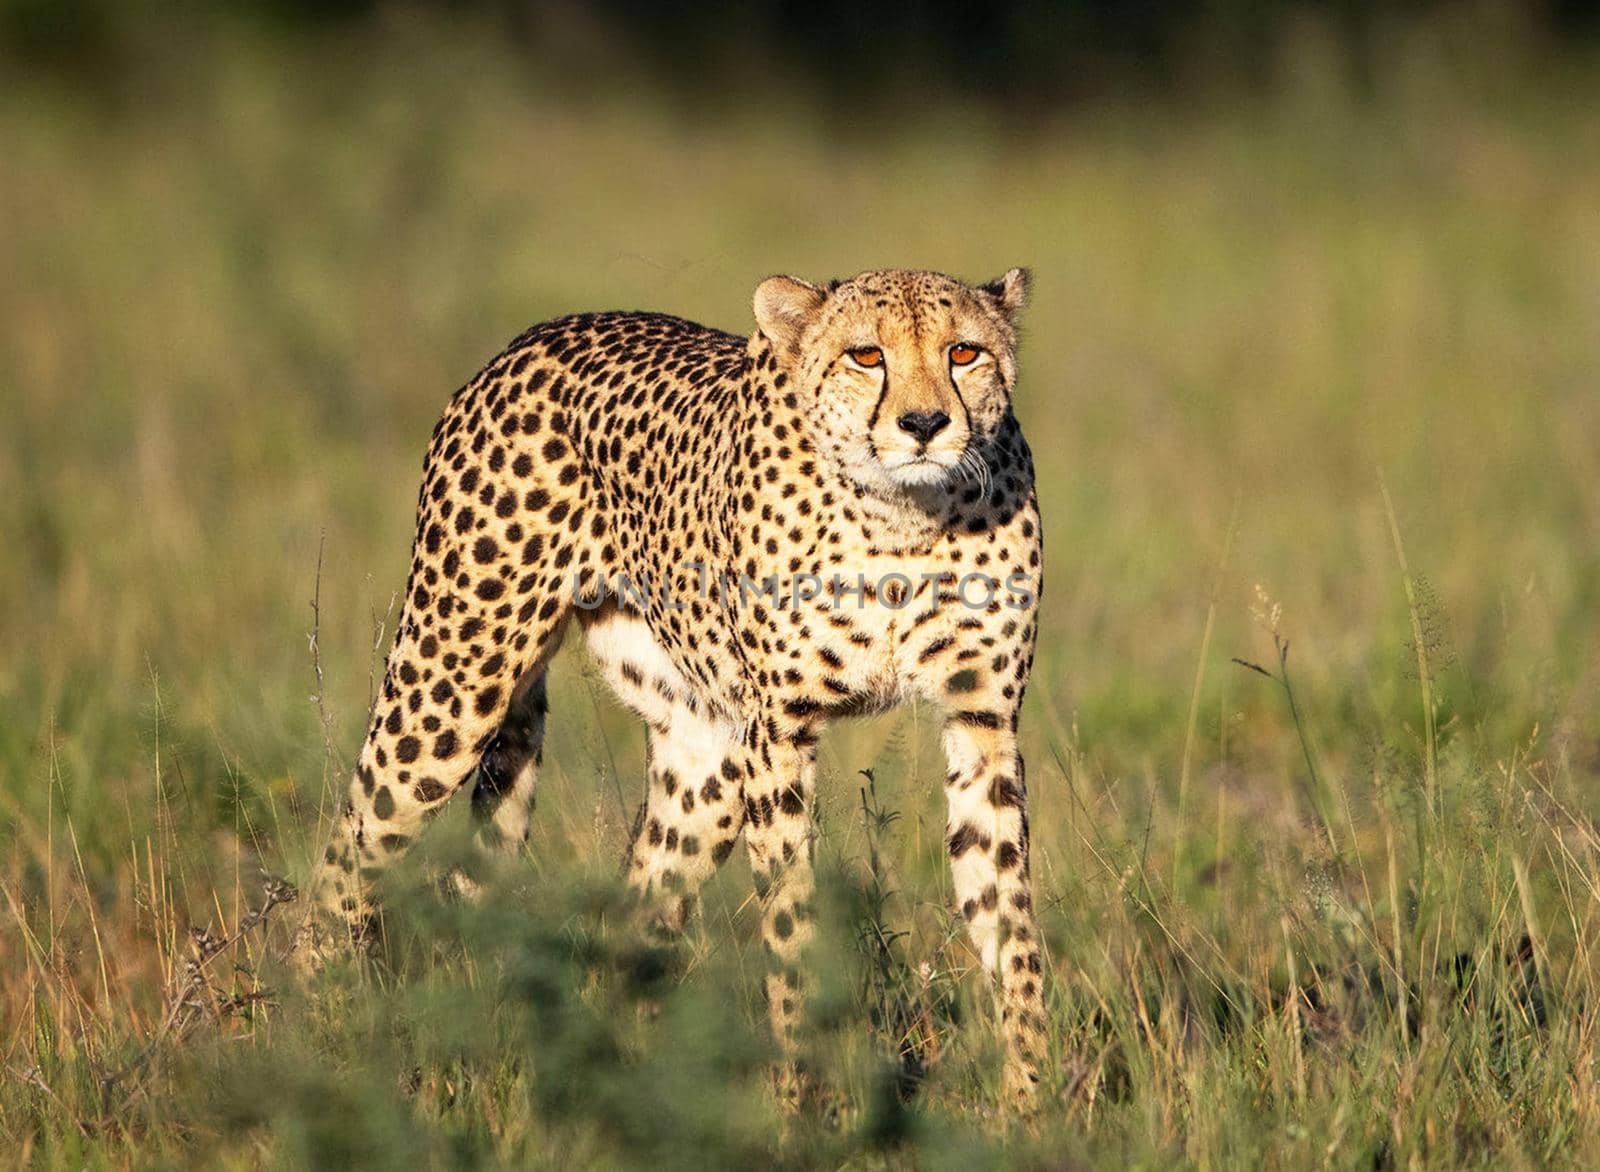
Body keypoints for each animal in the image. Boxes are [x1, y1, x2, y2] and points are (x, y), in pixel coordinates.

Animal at [299, 270, 1049, 1101]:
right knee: (346, 858)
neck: (903, 518)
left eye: (964, 352)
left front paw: (1032, 1098)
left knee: (630, 920)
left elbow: (1009, 922)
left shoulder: (983, 724)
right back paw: (320, 1033)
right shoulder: (781, 732)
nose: (924, 423)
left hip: (705, 761)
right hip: (451, 686)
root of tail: (539, 335)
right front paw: (801, 1099)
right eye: (866, 356)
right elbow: (791, 926)